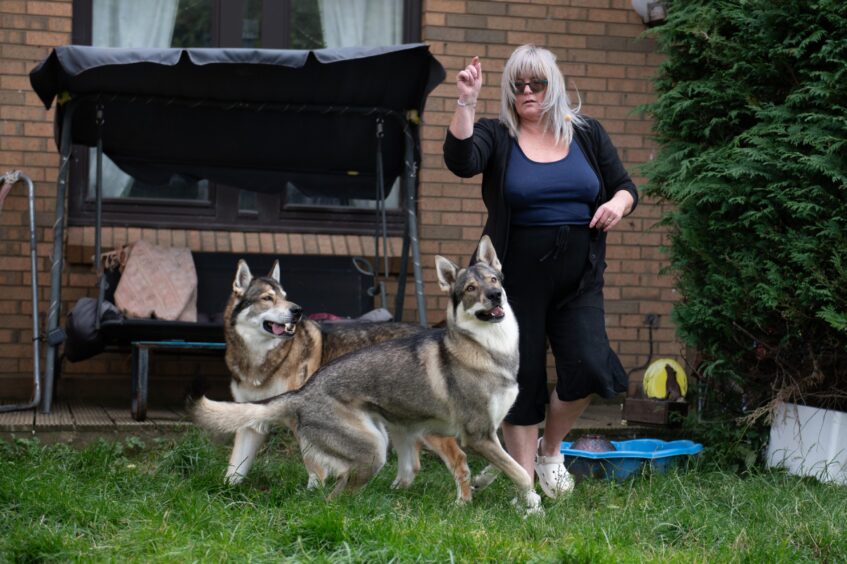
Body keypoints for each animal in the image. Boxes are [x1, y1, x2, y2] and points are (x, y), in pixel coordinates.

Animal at [195, 236, 540, 512]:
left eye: (495, 280)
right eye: (470, 288)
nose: (495, 295)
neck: (489, 348)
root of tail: (302, 394)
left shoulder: (490, 432)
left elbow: (513, 463)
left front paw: (495, 486)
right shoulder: (477, 434)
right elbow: (520, 471)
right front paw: (533, 504)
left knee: (406, 471)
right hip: (377, 449)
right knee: (337, 495)